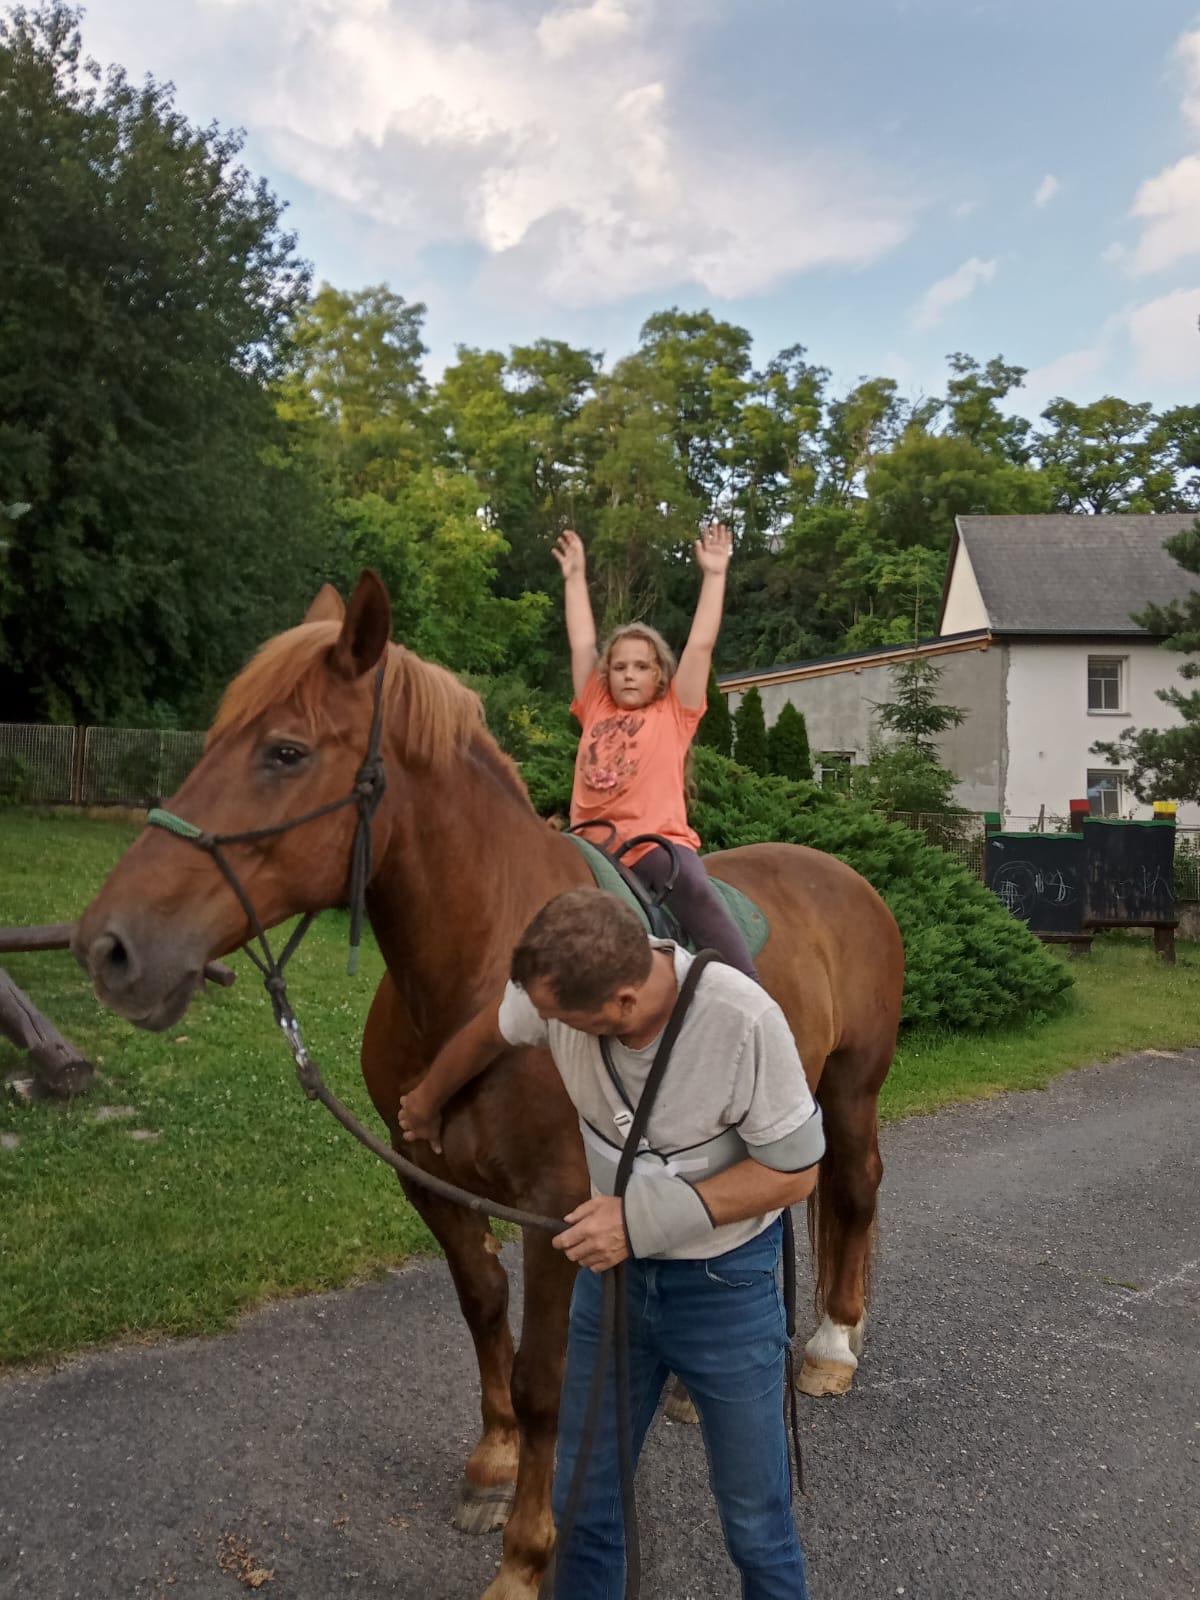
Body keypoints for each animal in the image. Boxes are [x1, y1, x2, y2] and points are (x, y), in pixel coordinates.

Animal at [72, 576, 902, 1600]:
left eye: (285, 752)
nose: (110, 949)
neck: (479, 976)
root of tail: (846, 875)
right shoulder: (429, 1182)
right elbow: (482, 1317)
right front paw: (493, 1463)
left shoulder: (561, 1210)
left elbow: (546, 1380)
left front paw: (525, 1555)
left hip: (849, 1092)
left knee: (854, 1192)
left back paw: (830, 1349)